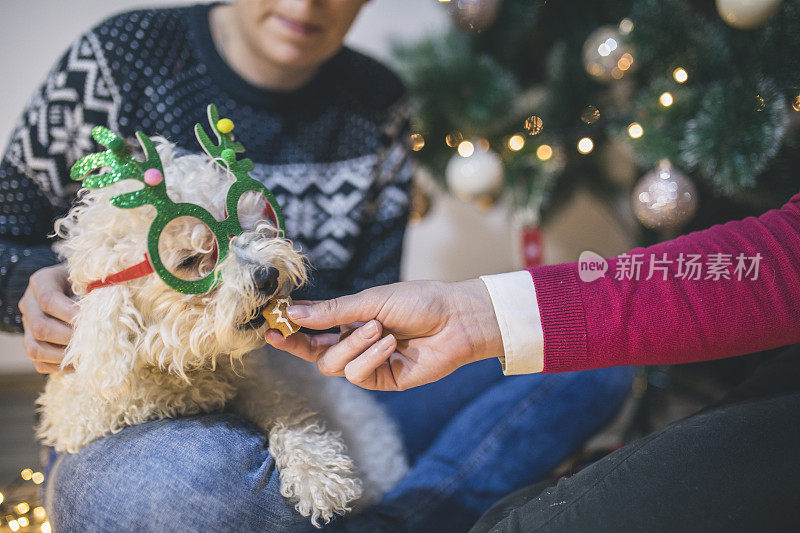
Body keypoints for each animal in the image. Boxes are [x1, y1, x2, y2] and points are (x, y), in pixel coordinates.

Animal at [33, 137, 406, 524]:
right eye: (188, 260)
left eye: (248, 228)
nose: (267, 275)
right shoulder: (80, 413)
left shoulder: (264, 382)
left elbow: (290, 410)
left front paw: (318, 474)